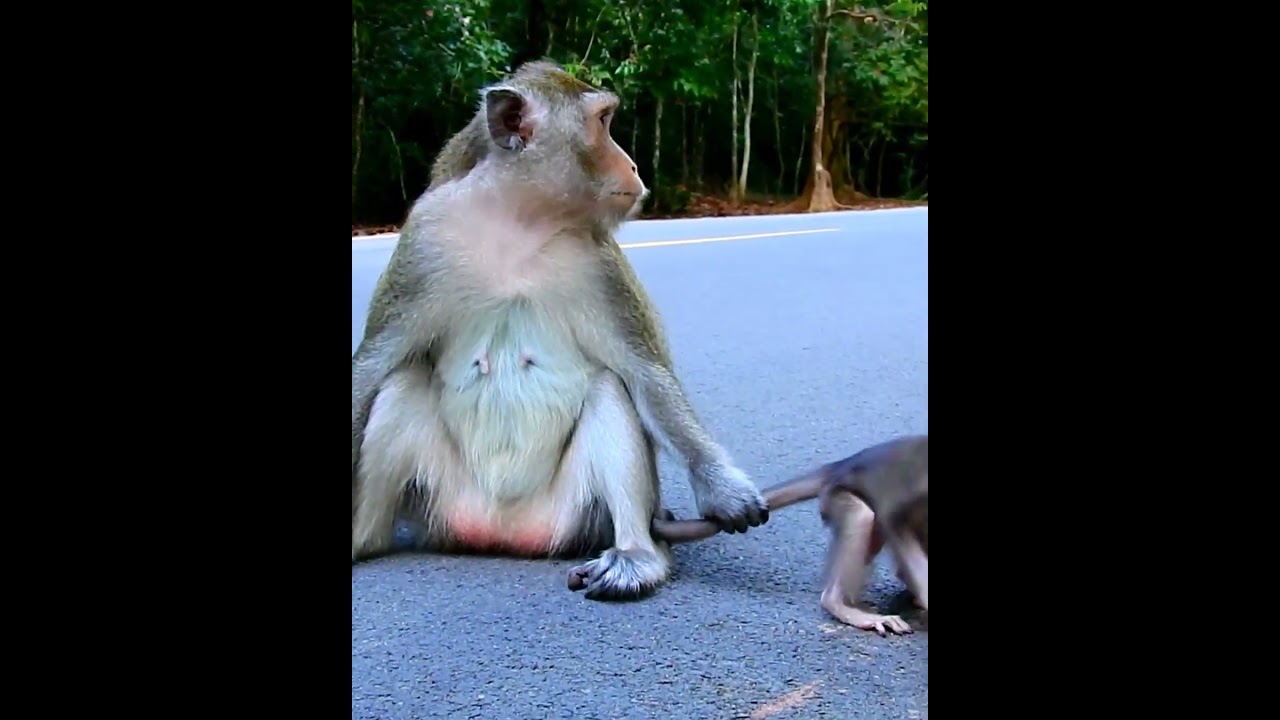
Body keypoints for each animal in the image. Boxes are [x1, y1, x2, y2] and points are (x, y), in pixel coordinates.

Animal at [351, 60, 770, 602]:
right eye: (603, 122)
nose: (634, 166)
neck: (517, 222)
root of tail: (502, 536)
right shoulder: (423, 243)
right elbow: (372, 366)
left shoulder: (598, 261)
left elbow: (646, 375)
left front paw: (722, 489)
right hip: (438, 503)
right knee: (402, 382)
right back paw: (362, 539)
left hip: (574, 514)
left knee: (611, 389)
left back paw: (636, 557)